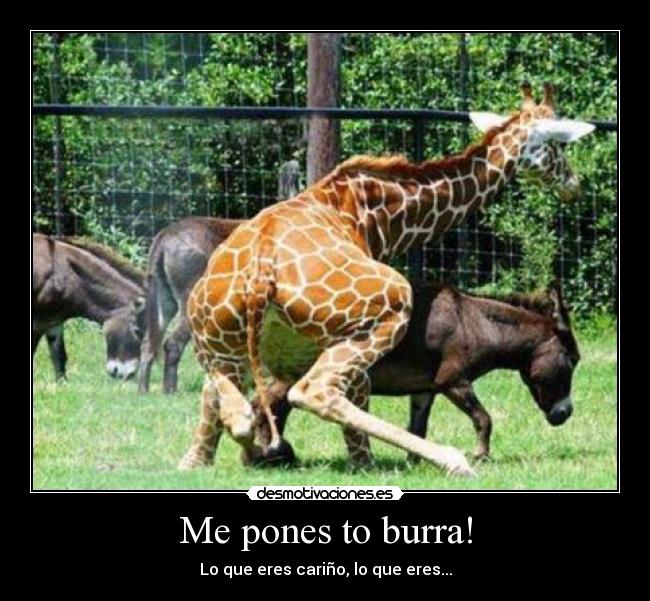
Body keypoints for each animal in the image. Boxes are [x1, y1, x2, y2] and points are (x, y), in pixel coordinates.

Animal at [179, 82, 594, 476]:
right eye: (558, 146)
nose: (574, 184)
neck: (383, 214)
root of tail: (262, 270)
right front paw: (365, 462)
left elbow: (217, 403)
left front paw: (211, 458)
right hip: (389, 308)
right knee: (313, 392)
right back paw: (449, 460)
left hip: (215, 339)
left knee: (233, 406)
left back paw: (233, 455)